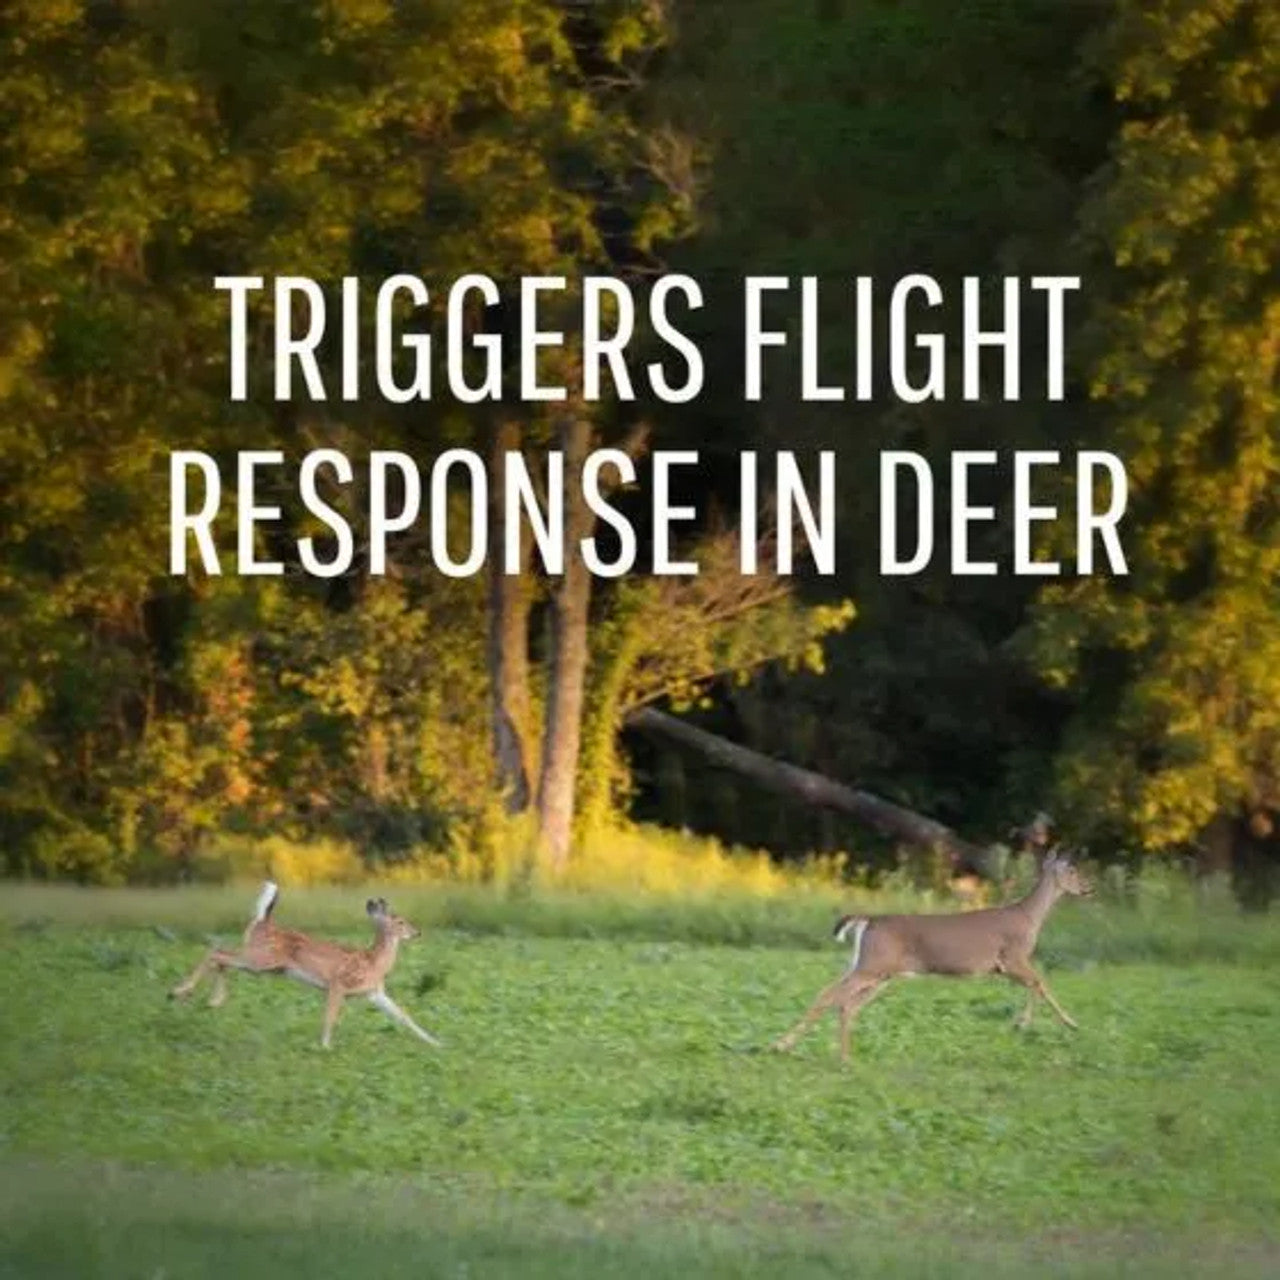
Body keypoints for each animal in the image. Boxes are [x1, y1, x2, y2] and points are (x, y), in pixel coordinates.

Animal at [169, 882, 441, 1050]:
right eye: (400, 921)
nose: (417, 932)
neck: (374, 962)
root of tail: (262, 921)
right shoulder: (337, 983)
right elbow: (330, 1016)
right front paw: (325, 1046)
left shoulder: (374, 993)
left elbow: (403, 1015)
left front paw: (434, 1042)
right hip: (260, 959)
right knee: (218, 952)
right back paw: (180, 992)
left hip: (261, 964)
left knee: (222, 957)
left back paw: (212, 1000)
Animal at [771, 849, 1093, 1063]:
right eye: (1072, 870)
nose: (1089, 887)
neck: (1029, 918)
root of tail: (868, 920)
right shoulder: (1012, 957)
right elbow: (1040, 982)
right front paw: (1054, 1023)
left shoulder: (1005, 966)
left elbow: (1037, 984)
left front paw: (1030, 1023)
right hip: (872, 966)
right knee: (830, 995)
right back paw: (784, 1046)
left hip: (877, 972)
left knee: (845, 1003)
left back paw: (841, 1057)